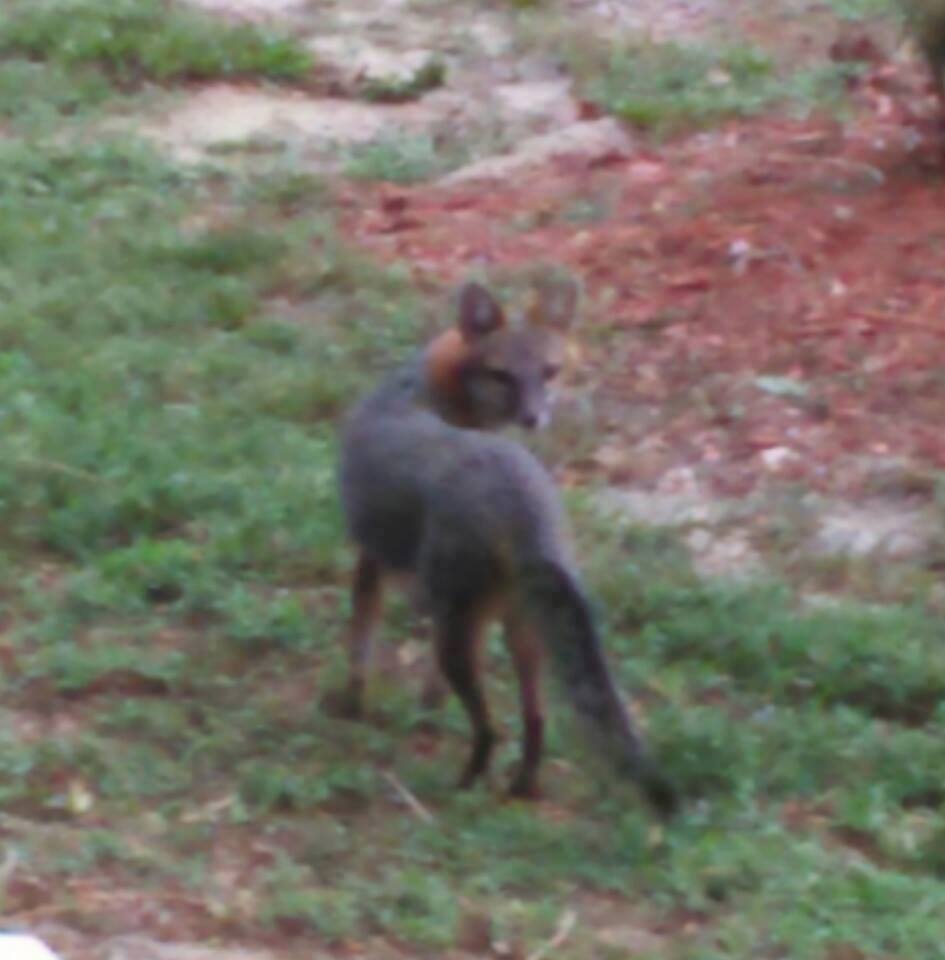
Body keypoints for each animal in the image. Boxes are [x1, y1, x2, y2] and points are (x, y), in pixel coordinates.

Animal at [336, 278, 676, 816]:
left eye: (549, 372)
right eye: (502, 376)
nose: (534, 417)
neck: (422, 389)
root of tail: (521, 502)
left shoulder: (374, 559)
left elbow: (360, 647)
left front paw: (352, 707)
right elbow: (422, 679)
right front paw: (424, 711)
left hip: (462, 632)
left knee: (491, 728)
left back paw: (461, 789)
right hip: (521, 629)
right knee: (535, 719)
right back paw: (522, 786)